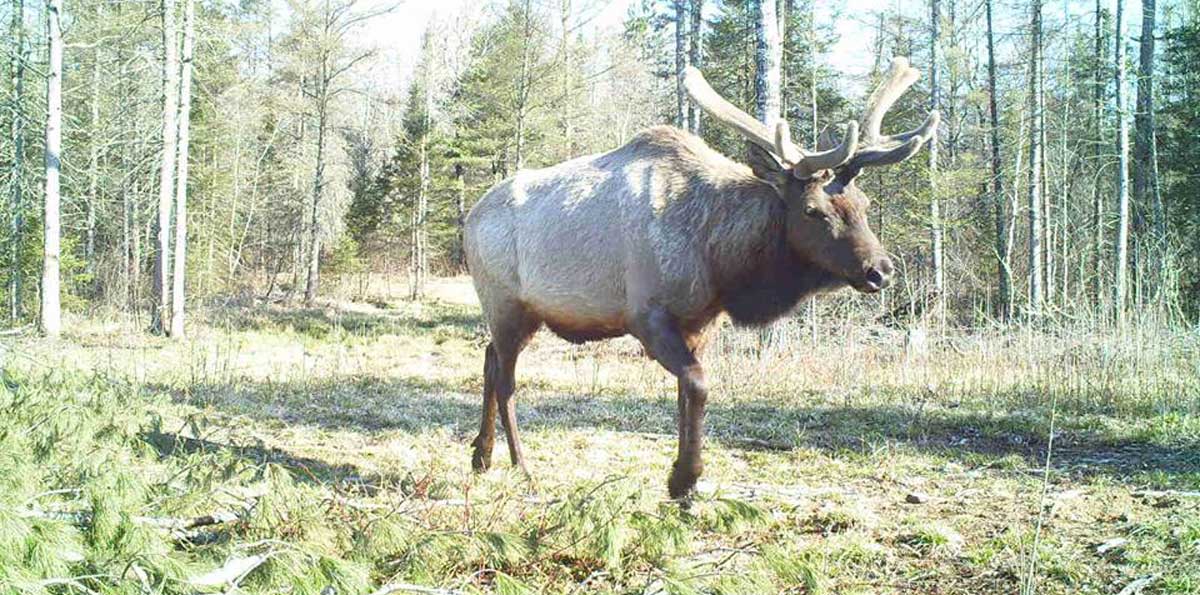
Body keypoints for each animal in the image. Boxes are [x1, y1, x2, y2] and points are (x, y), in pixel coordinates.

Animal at [463, 58, 938, 499]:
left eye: (864, 203)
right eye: (813, 211)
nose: (880, 270)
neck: (719, 262)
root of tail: (469, 217)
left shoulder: (700, 322)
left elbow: (685, 392)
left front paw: (683, 477)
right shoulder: (646, 314)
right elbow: (698, 383)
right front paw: (683, 478)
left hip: (523, 315)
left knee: (488, 359)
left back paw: (481, 455)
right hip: (505, 302)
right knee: (506, 380)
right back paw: (522, 466)